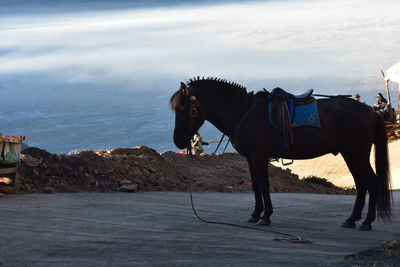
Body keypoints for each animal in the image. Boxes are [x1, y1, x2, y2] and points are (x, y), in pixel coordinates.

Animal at [170, 77, 392, 230]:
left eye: (184, 107)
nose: (178, 140)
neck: (243, 112)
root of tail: (370, 111)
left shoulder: (259, 157)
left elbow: (263, 185)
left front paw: (265, 216)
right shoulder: (251, 158)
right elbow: (256, 186)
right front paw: (256, 213)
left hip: (357, 154)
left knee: (372, 183)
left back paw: (367, 222)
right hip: (350, 155)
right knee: (361, 184)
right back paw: (352, 219)